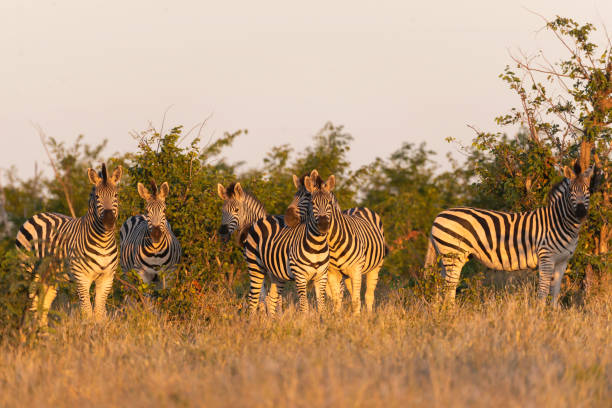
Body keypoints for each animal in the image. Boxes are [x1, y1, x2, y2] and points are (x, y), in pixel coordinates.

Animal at [15, 163, 122, 326]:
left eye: (115, 196)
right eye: (97, 197)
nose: (109, 221)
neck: (103, 242)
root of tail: (36, 215)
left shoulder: (107, 277)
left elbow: (99, 312)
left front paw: (99, 330)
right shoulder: (81, 277)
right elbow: (87, 312)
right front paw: (89, 331)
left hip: (50, 276)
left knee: (43, 304)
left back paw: (42, 331)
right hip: (29, 270)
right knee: (31, 303)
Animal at [243, 171, 330, 314]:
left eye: (329, 203)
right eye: (312, 201)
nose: (323, 225)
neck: (316, 245)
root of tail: (262, 218)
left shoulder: (322, 276)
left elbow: (322, 306)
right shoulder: (300, 277)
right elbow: (304, 306)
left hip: (275, 274)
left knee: (271, 298)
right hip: (255, 266)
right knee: (253, 298)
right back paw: (252, 319)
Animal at [284, 171, 384, 314]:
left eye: (329, 203)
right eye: (312, 202)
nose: (323, 224)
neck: (333, 242)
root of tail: (359, 207)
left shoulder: (356, 270)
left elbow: (355, 300)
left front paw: (357, 318)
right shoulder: (331, 272)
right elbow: (337, 299)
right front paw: (336, 316)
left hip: (375, 267)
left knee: (368, 295)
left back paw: (369, 315)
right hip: (346, 275)